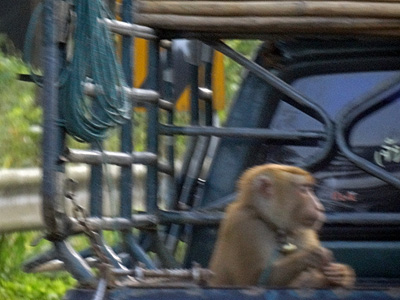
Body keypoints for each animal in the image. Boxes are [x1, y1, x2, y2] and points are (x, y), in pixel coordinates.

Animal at [208, 164, 354, 288]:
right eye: (304, 189)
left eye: (310, 189)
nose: (318, 206)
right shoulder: (245, 226)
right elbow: (253, 284)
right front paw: (310, 256)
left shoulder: (301, 232)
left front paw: (340, 274)